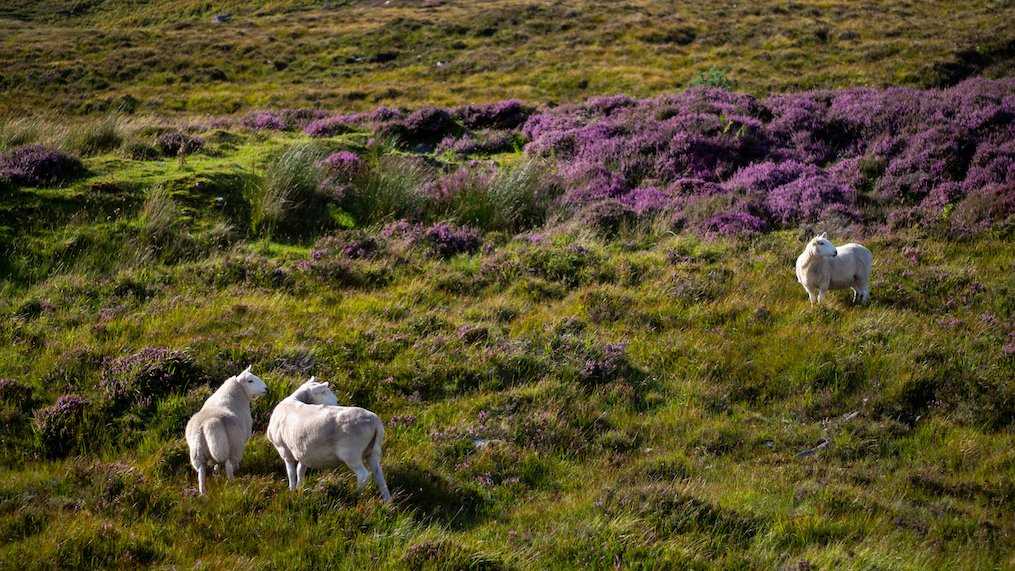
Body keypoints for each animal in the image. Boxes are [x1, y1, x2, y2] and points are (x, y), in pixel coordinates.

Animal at [185, 367, 267, 496]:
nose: (266, 389)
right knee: (229, 466)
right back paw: (233, 483)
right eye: (250, 381)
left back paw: (203, 493)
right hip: (233, 446)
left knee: (201, 473)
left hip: (198, 452)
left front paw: (216, 471)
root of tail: (210, 423)